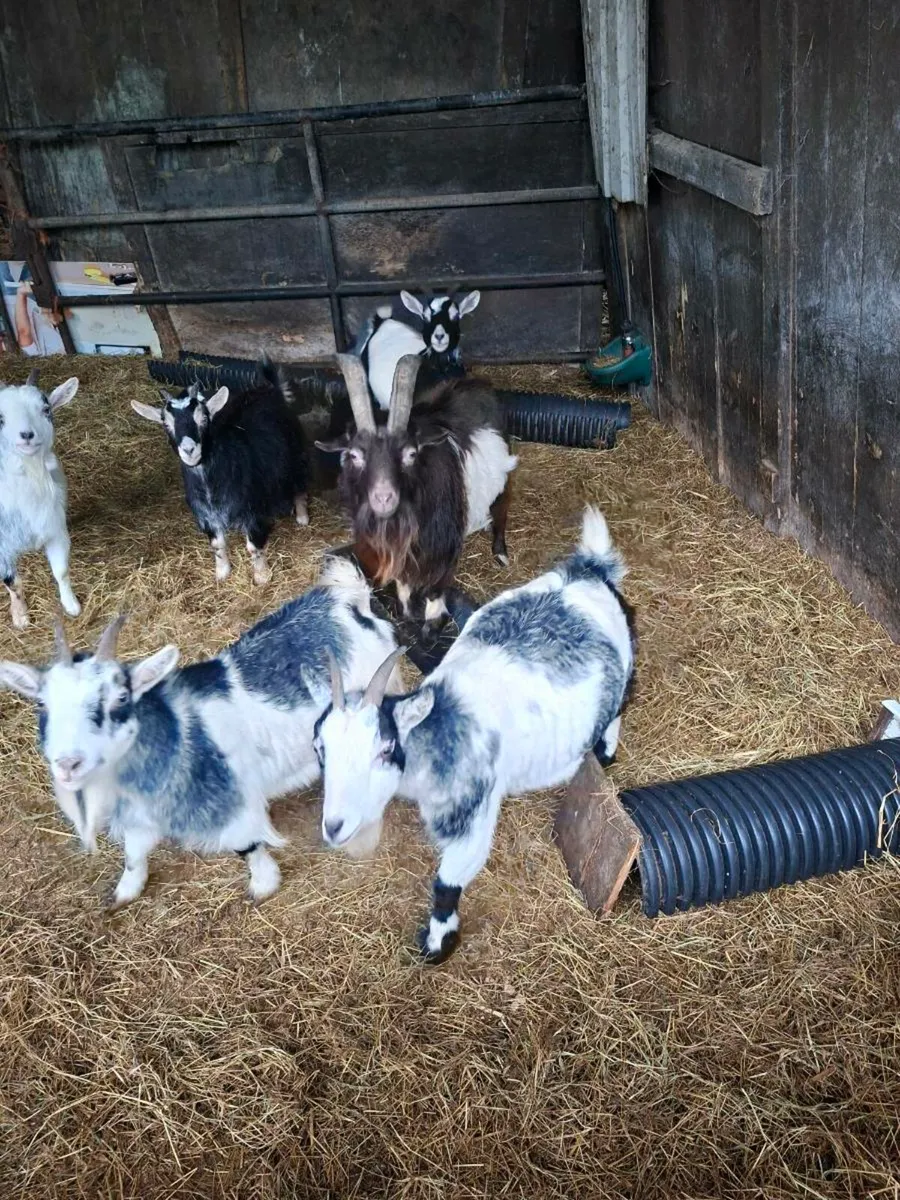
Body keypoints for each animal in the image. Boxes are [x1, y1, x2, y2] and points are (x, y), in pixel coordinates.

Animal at [0, 368, 81, 629]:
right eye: (0, 417)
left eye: (46, 409)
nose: (27, 434)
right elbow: (12, 582)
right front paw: (20, 616)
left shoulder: (54, 528)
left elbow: (62, 570)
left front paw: (72, 605)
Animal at [0, 557, 399, 907]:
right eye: (42, 703)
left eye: (121, 699)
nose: (68, 763)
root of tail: (345, 602)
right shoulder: (140, 815)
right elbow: (133, 854)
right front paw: (124, 892)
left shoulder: (229, 802)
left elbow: (245, 845)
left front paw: (263, 885)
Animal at [131, 361, 308, 586]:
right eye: (166, 423)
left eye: (204, 418)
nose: (189, 450)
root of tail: (272, 390)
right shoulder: (207, 516)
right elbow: (217, 545)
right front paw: (222, 573)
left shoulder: (253, 509)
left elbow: (253, 546)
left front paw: (261, 576)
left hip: (297, 455)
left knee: (300, 486)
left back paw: (303, 518)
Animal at [313, 507, 637, 963]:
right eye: (320, 748)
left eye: (386, 748)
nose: (334, 826)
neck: (443, 722)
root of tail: (589, 570)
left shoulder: (474, 817)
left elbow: (447, 883)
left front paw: (437, 945)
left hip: (624, 667)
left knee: (618, 707)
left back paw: (605, 753)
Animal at [316, 353, 517, 638]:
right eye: (354, 455)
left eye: (411, 453)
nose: (384, 498)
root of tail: (476, 383)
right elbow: (403, 580)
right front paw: (407, 611)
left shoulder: (444, 544)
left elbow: (436, 585)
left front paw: (432, 625)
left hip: (505, 473)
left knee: (502, 508)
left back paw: (500, 552)